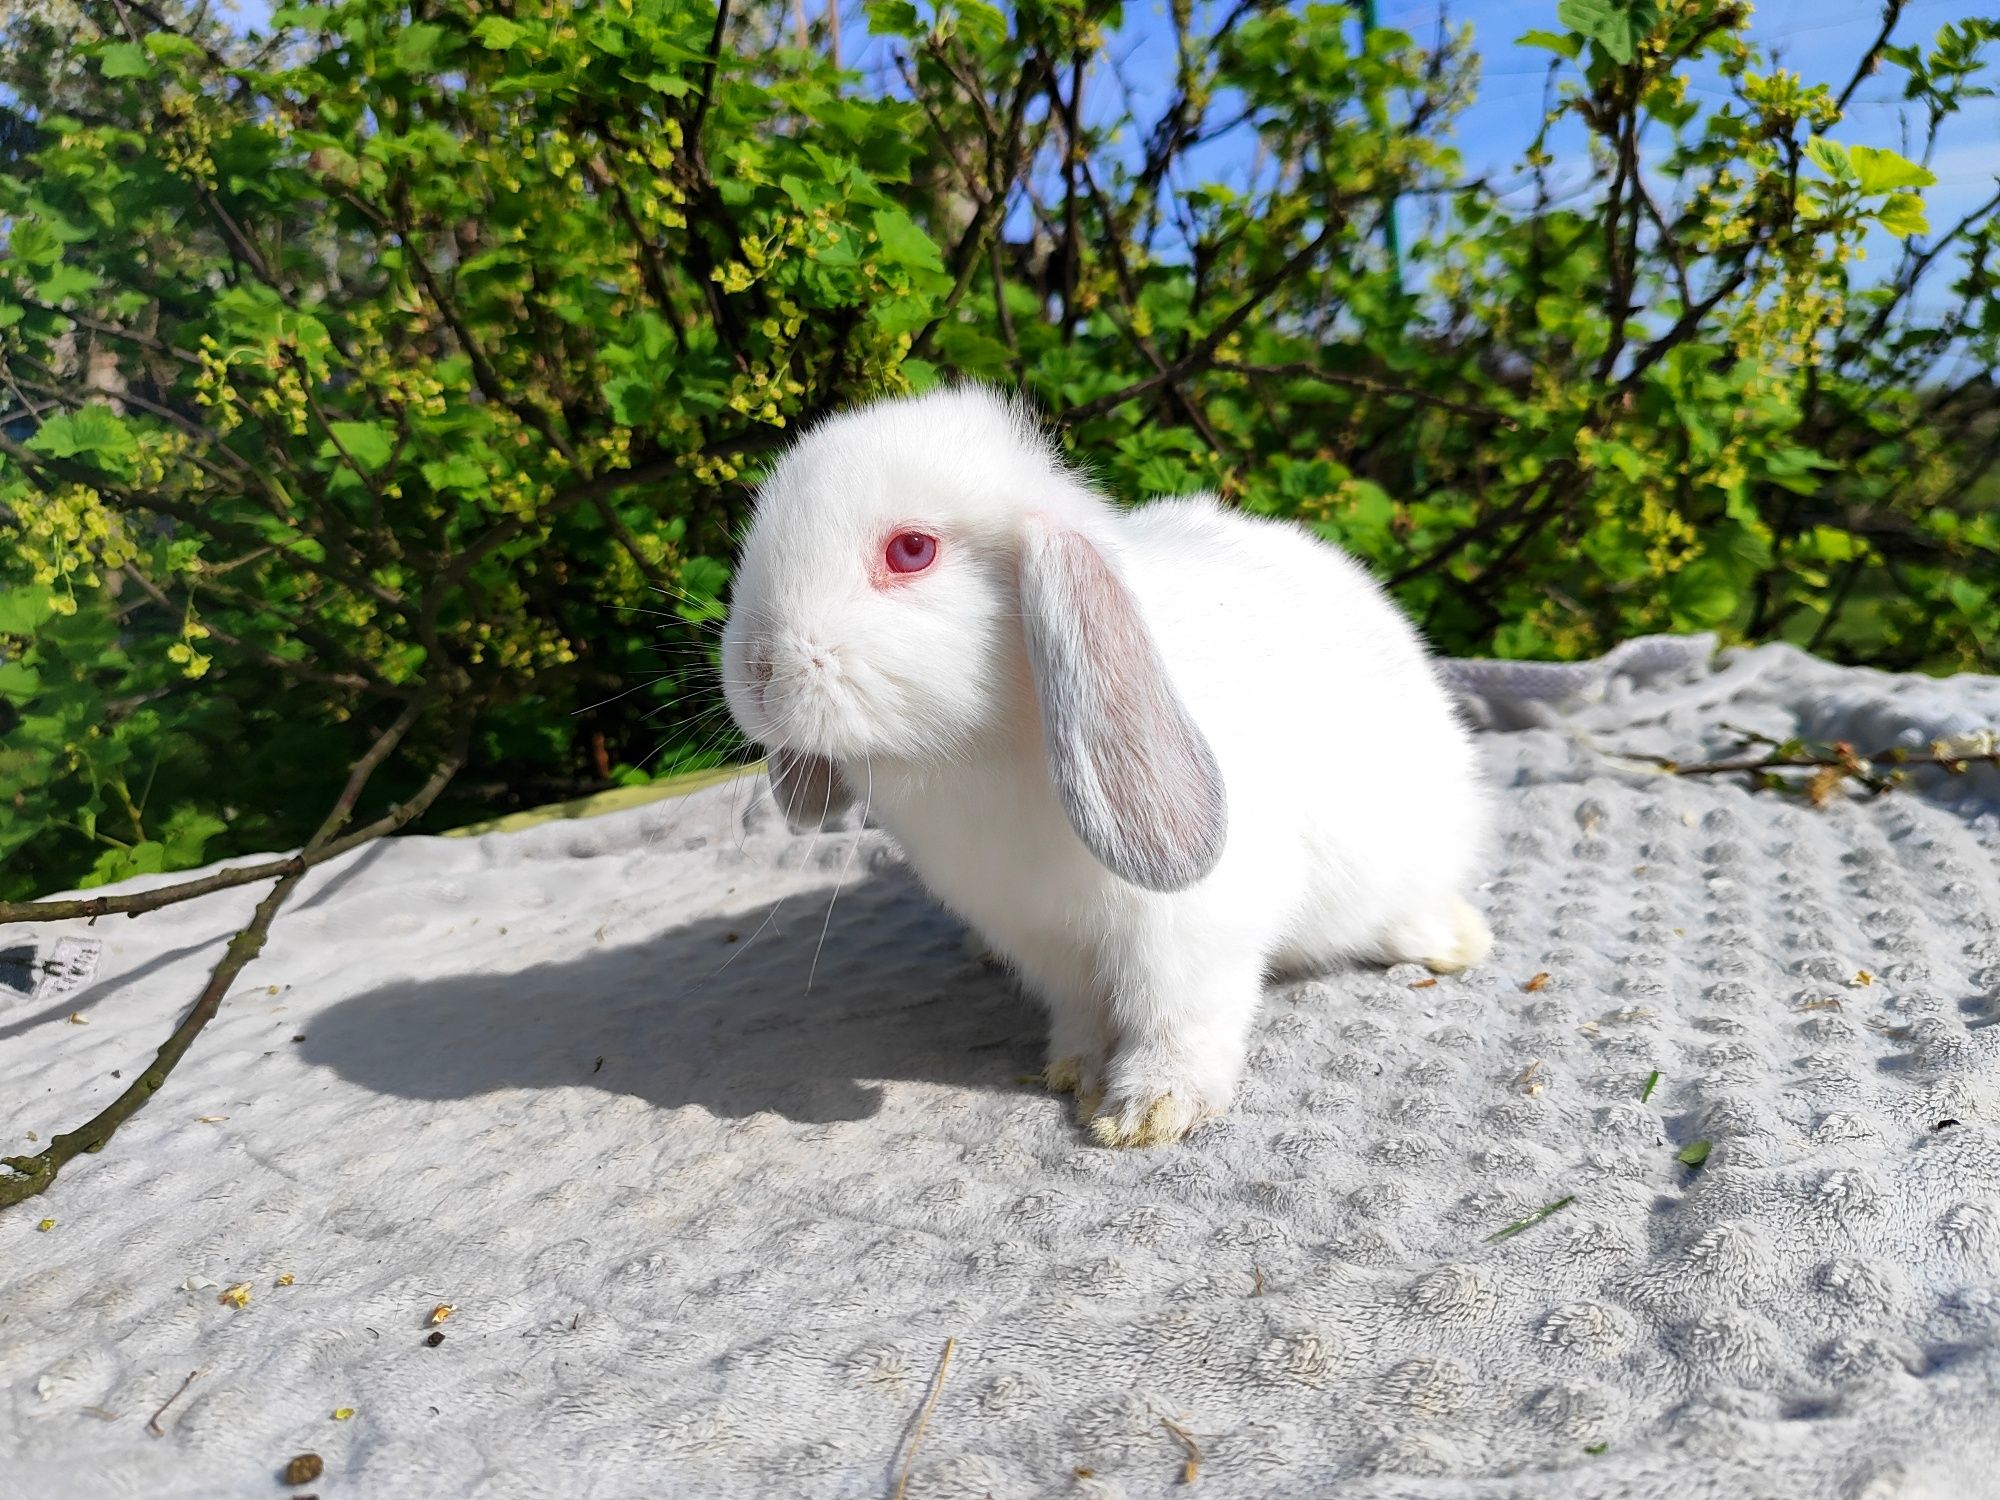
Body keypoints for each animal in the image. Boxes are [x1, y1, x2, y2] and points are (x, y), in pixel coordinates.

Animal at [720, 388, 1488, 1152]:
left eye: (912, 550)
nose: (757, 671)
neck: (980, 751)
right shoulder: (1042, 939)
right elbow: (1082, 1010)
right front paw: (1076, 1071)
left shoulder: (1192, 931)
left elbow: (1179, 1017)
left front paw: (1150, 1109)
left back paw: (1452, 942)